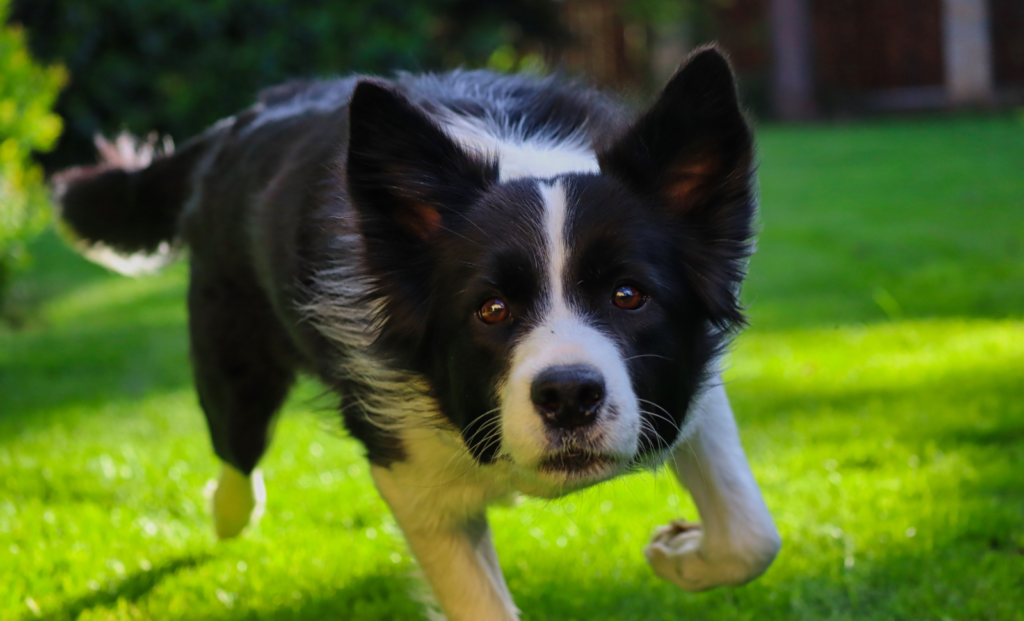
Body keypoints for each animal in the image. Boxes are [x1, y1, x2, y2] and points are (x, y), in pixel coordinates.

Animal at [56, 46, 774, 618]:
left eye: (629, 296)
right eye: (491, 309)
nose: (569, 397)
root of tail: (238, 124)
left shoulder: (683, 385)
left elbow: (753, 536)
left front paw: (681, 553)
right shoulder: (407, 468)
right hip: (233, 358)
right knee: (237, 453)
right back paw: (228, 510)